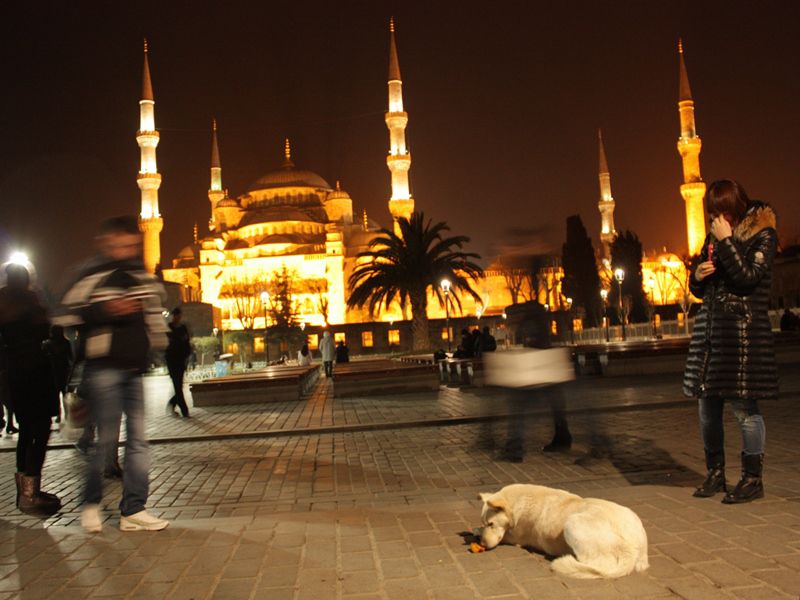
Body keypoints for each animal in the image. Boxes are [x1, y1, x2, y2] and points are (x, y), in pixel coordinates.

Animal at [478, 482, 648, 576]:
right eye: (485, 523)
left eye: (491, 524)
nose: (482, 545)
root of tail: (632, 550)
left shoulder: (516, 535)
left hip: (572, 523)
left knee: (593, 562)